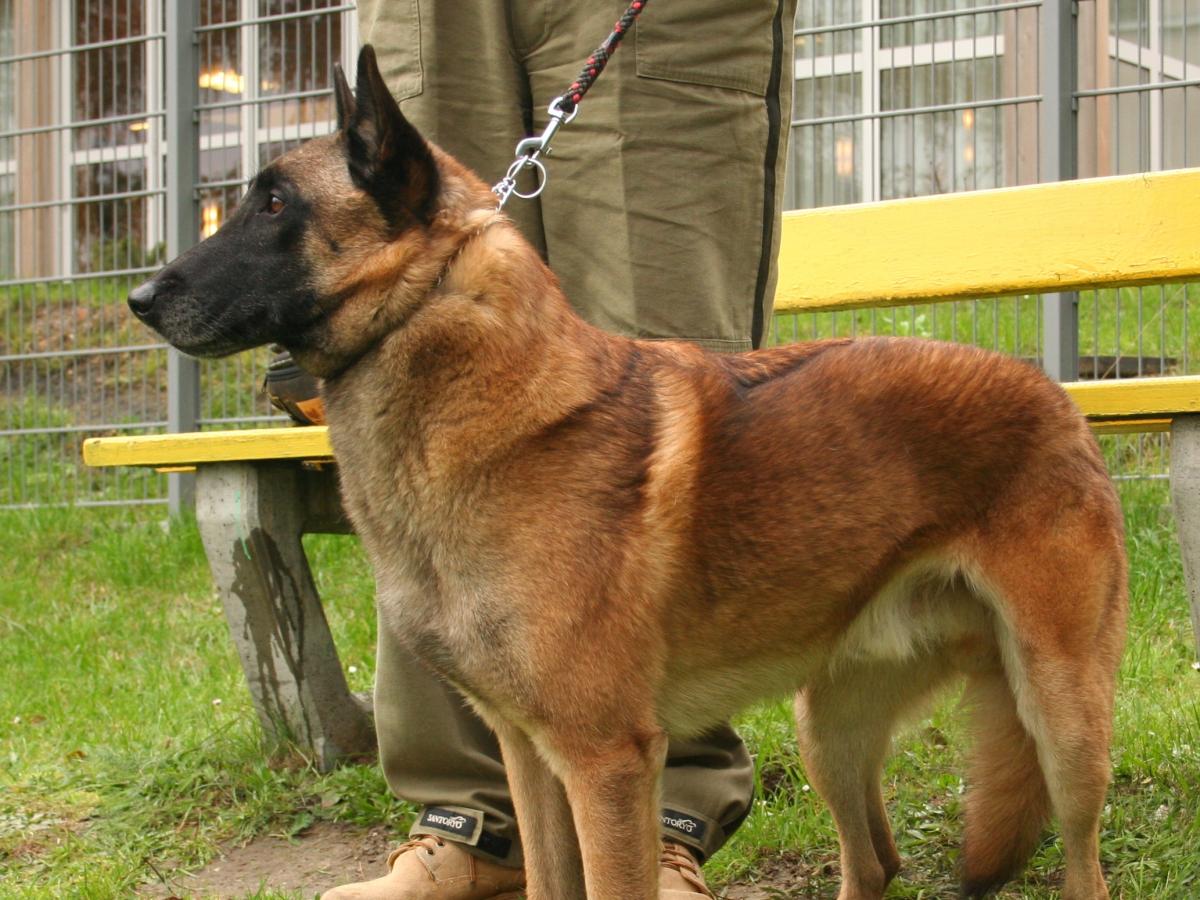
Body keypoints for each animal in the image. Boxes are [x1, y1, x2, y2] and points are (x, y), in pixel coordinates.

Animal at [128, 45, 1127, 900]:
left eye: (274, 205)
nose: (137, 298)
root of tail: (1051, 393)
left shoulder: (606, 764)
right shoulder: (530, 759)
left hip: (1063, 715)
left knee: (1083, 862)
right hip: (830, 727)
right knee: (875, 862)